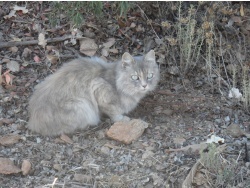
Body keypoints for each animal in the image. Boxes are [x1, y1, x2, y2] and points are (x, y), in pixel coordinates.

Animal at [27, 50, 160, 135]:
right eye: (135, 77)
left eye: (149, 76)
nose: (144, 85)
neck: (117, 82)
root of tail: (32, 122)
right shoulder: (98, 87)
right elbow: (114, 112)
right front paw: (122, 119)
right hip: (82, 105)